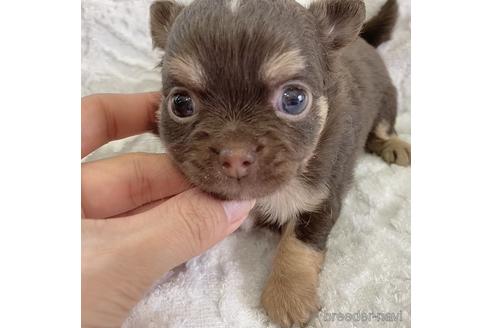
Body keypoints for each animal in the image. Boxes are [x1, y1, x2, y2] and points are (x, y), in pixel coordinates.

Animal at [149, 0, 408, 326]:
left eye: (294, 99)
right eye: (180, 104)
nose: (234, 155)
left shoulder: (320, 198)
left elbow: (299, 243)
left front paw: (289, 294)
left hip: (386, 100)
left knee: (383, 129)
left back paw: (395, 146)